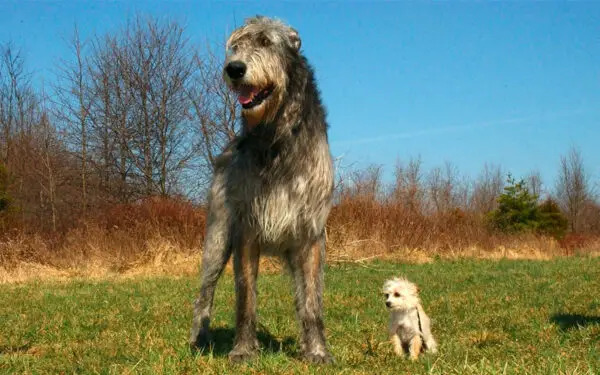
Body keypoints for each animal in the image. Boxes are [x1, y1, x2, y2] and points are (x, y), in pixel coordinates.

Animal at [190, 16, 336, 366]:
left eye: (267, 42)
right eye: (235, 46)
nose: (234, 68)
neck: (276, 136)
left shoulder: (311, 234)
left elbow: (311, 302)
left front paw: (318, 351)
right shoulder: (246, 230)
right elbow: (246, 298)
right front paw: (243, 350)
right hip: (217, 236)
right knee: (205, 292)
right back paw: (199, 339)